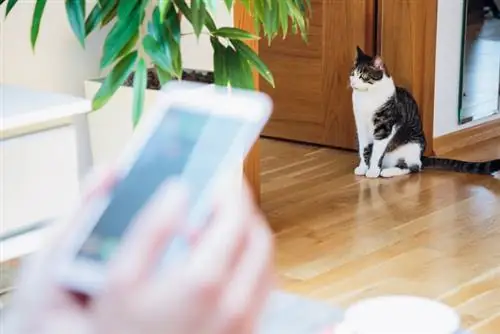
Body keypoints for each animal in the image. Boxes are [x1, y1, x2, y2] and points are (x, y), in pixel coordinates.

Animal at [350, 46, 500, 180]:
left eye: (363, 76)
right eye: (352, 74)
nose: (352, 82)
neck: (366, 98)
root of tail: (421, 156)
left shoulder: (385, 128)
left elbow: (376, 152)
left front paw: (373, 171)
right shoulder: (360, 126)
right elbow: (364, 149)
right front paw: (363, 168)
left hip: (411, 146)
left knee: (414, 167)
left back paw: (387, 172)